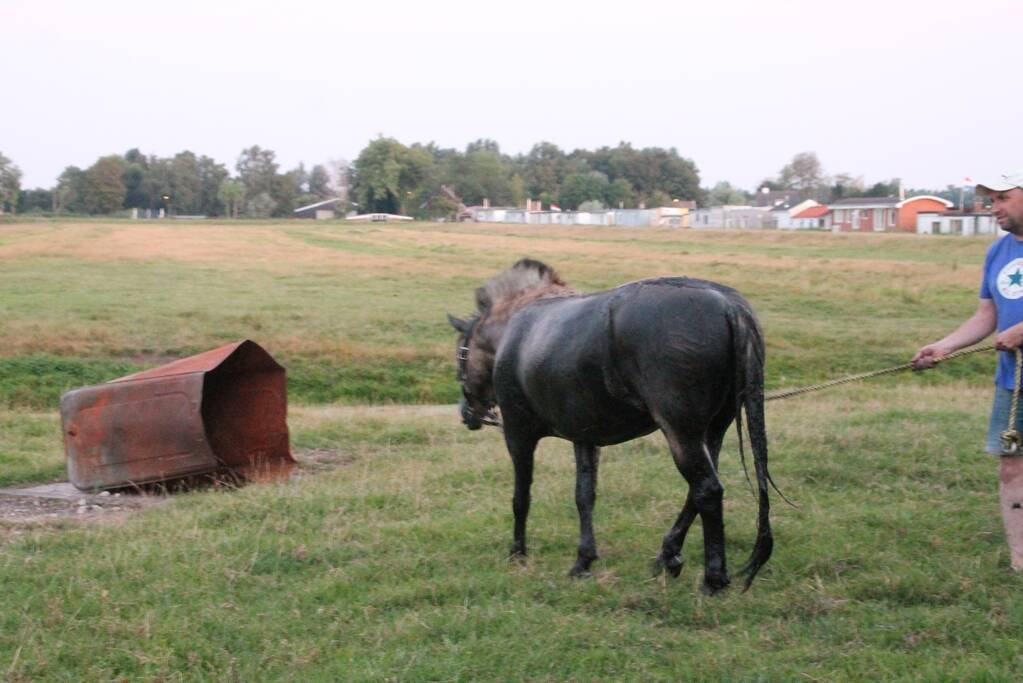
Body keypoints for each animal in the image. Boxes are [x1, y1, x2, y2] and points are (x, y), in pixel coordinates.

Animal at [447, 259, 774, 593]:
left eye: (461, 352)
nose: (466, 413)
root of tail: (730, 307)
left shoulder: (518, 433)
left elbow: (521, 497)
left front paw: (518, 554)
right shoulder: (584, 437)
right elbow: (584, 496)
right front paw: (583, 560)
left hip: (681, 432)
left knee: (707, 490)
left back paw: (713, 578)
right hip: (713, 430)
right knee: (698, 491)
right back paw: (668, 555)